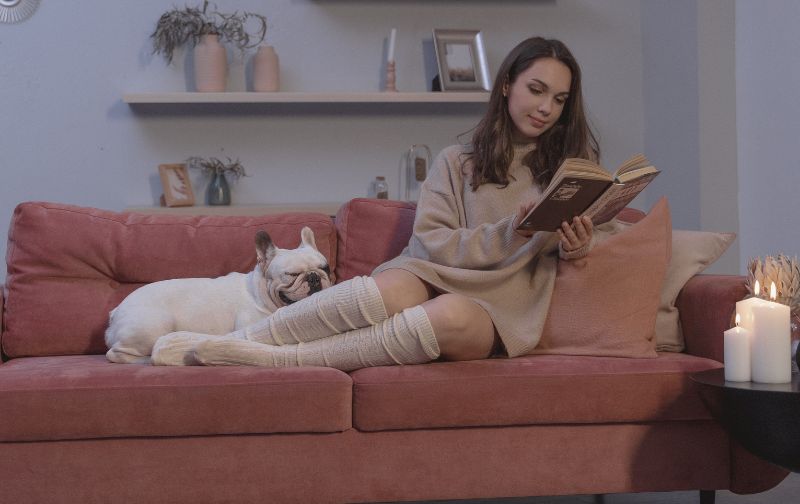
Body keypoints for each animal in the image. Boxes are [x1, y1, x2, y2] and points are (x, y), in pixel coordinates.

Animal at [105, 226, 332, 364]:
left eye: (326, 269)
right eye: (291, 275)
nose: (314, 277)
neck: (258, 293)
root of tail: (115, 313)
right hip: (152, 328)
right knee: (116, 355)